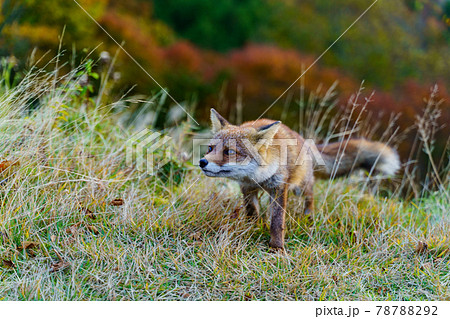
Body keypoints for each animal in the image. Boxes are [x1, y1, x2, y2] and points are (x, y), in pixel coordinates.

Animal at [199, 109, 400, 250]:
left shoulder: (279, 186)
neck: (257, 177)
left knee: (310, 196)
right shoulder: (247, 187)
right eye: (210, 148)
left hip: (300, 187)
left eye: (230, 152)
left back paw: (308, 216)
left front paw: (277, 248)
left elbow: (277, 222)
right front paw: (252, 228)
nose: (202, 162)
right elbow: (252, 212)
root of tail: (304, 140)